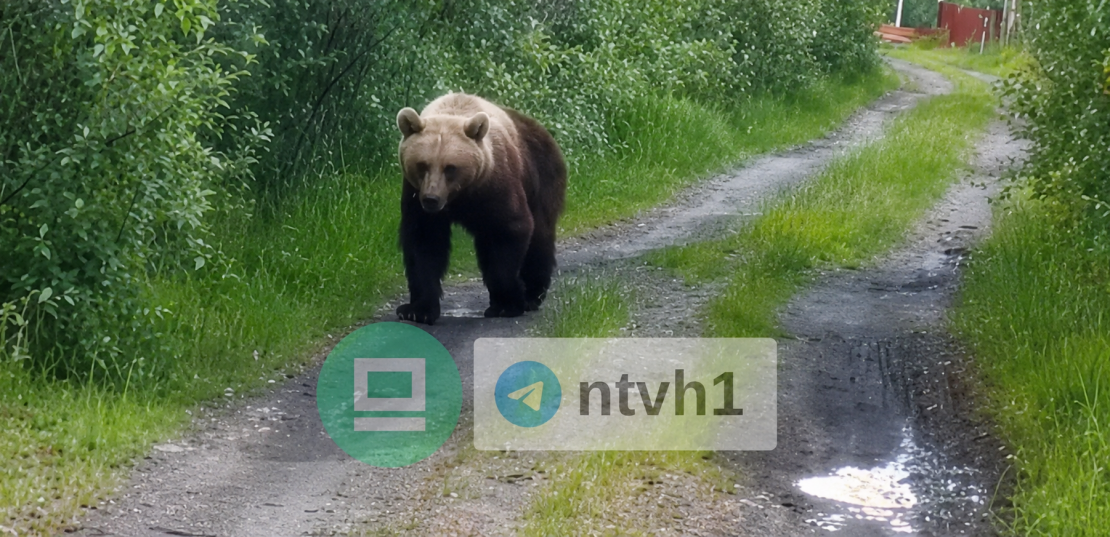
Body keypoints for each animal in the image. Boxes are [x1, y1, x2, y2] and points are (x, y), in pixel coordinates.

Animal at [394, 93, 567, 325]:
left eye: (450, 167)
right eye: (422, 165)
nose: (431, 199)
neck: (458, 197)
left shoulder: (495, 185)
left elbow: (511, 229)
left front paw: (508, 304)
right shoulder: (415, 195)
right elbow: (424, 243)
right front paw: (417, 309)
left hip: (540, 178)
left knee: (539, 236)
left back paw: (532, 294)